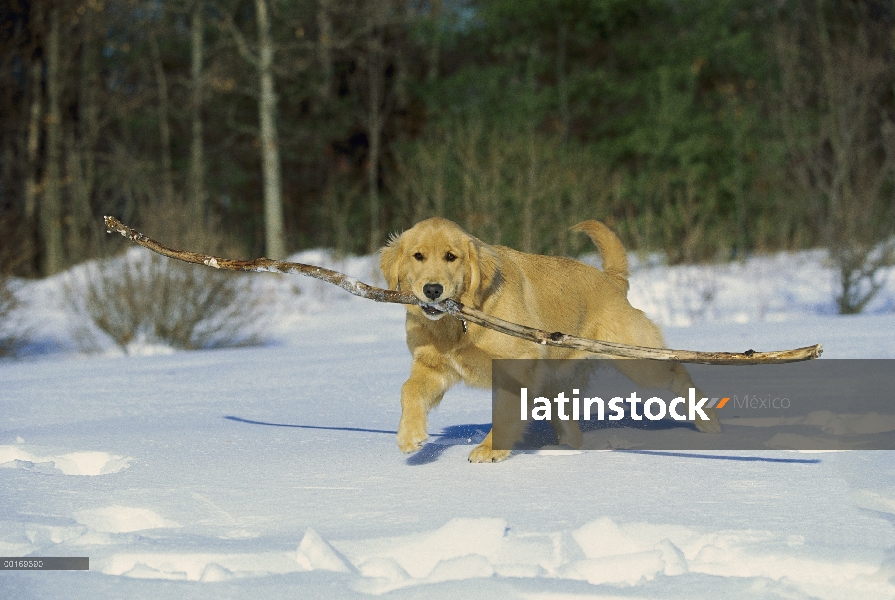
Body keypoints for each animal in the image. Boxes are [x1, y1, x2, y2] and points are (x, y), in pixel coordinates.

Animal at [380, 217, 720, 464]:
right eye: (418, 256)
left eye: (451, 257)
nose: (432, 290)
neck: (458, 322)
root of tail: (611, 280)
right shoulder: (433, 366)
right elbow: (408, 390)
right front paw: (409, 436)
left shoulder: (518, 368)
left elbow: (505, 413)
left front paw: (491, 450)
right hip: (556, 384)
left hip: (638, 363)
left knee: (679, 373)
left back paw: (708, 422)